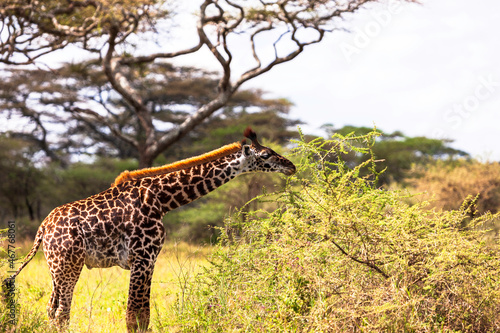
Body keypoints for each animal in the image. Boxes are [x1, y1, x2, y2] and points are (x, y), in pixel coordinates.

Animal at [1, 126, 294, 330]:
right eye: (266, 154)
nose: (290, 165)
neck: (163, 199)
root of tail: (42, 229)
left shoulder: (149, 260)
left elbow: (143, 316)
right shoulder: (143, 257)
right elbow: (134, 317)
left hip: (56, 267)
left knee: (52, 310)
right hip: (68, 264)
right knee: (62, 311)